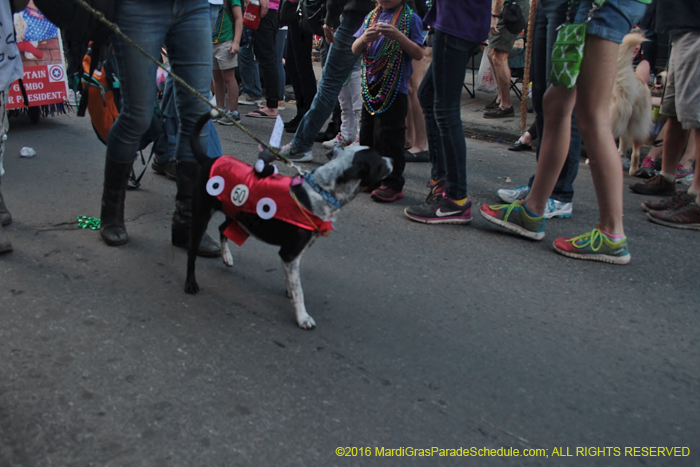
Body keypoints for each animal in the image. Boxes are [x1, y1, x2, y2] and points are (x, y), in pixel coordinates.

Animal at [186, 114, 394, 330]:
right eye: (379, 160)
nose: (393, 159)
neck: (321, 192)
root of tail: (210, 160)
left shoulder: (292, 253)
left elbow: (291, 281)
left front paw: (290, 294)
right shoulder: (290, 252)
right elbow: (299, 289)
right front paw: (303, 317)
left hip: (237, 214)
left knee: (222, 229)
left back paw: (226, 257)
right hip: (202, 215)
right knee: (192, 252)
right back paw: (191, 284)